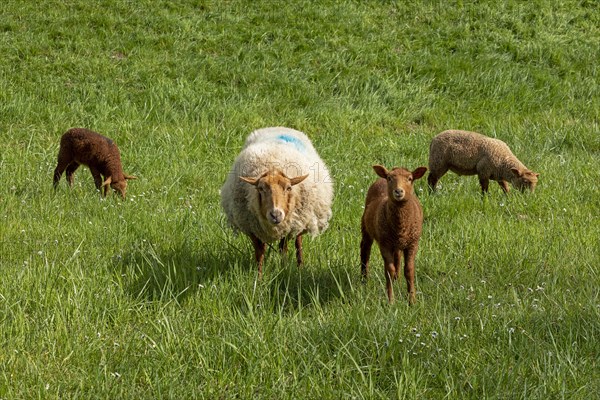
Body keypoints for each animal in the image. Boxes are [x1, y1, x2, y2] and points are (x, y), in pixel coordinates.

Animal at [220, 126, 332, 276]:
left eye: (289, 188)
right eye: (261, 188)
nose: (275, 215)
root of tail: (280, 127)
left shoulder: (289, 226)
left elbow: (283, 248)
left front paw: (284, 269)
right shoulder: (252, 228)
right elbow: (260, 252)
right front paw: (259, 276)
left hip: (301, 220)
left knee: (298, 244)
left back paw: (300, 266)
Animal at [358, 163, 428, 304]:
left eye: (410, 179)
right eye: (390, 178)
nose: (398, 191)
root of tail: (380, 178)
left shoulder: (413, 243)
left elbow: (409, 270)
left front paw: (412, 300)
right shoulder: (384, 244)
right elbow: (389, 270)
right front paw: (391, 301)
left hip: (398, 242)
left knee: (398, 257)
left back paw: (397, 280)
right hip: (367, 227)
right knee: (365, 249)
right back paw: (364, 278)